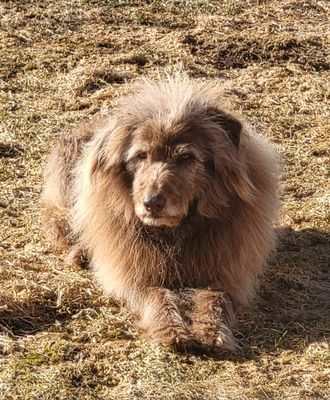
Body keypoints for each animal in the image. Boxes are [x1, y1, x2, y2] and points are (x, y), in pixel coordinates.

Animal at [40, 75, 278, 354]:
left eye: (186, 157)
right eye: (141, 156)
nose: (151, 203)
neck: (174, 232)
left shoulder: (223, 273)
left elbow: (215, 299)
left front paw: (211, 331)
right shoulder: (137, 275)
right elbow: (157, 295)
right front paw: (172, 330)